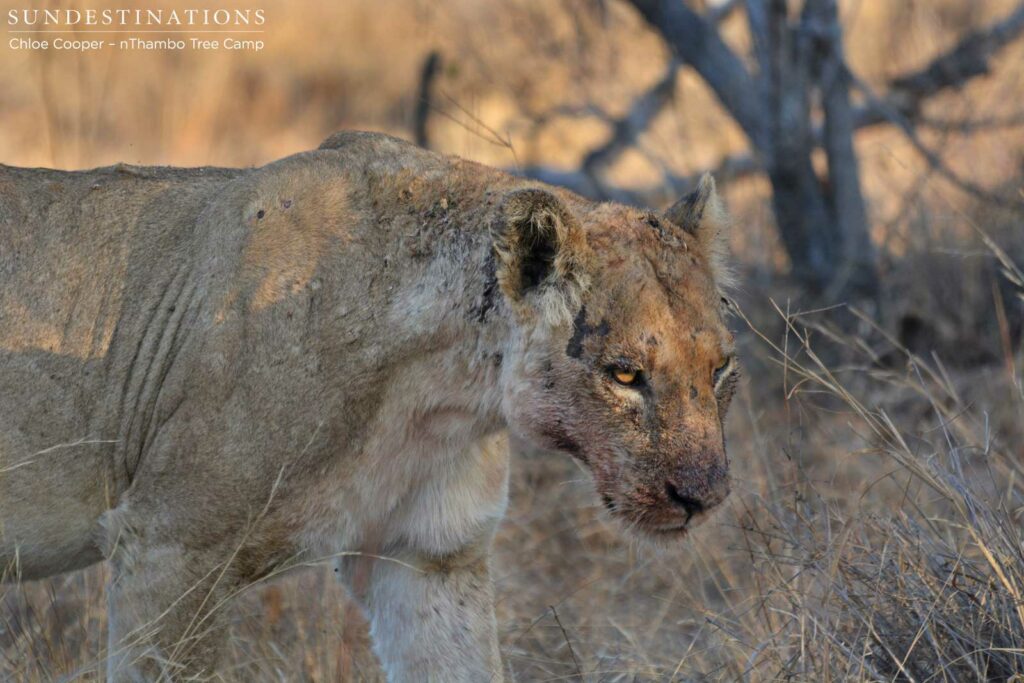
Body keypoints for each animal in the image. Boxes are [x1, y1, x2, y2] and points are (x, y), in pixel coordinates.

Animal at [0, 131, 738, 681]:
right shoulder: (169, 545)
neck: (441, 396)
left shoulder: (431, 558)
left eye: (721, 367)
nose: (703, 499)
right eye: (625, 373)